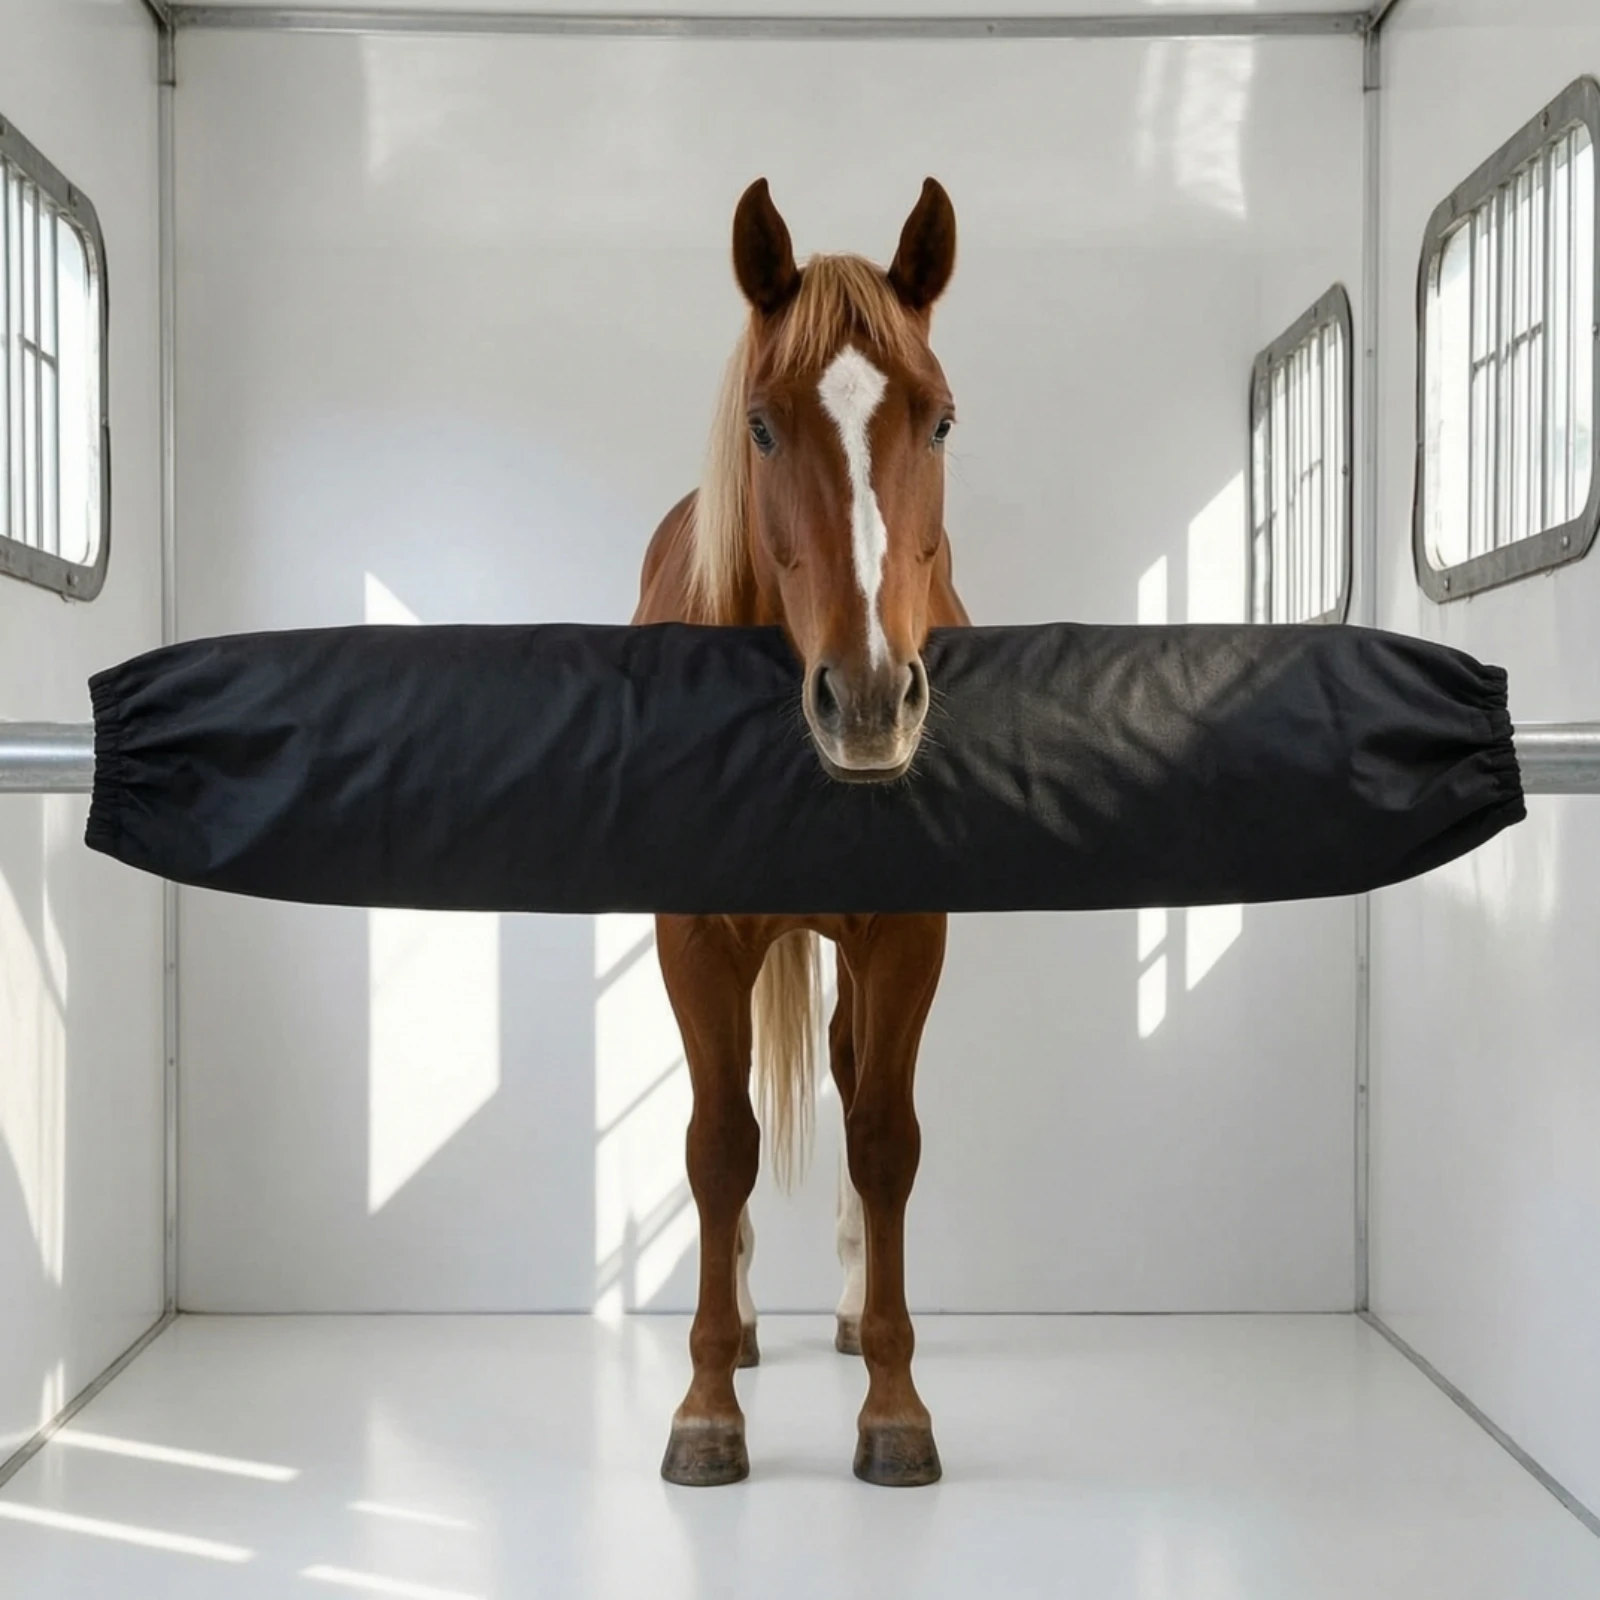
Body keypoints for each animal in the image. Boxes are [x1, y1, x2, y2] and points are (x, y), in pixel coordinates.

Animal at [632, 175, 968, 1487]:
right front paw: (704, 1407)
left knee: (841, 1066)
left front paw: (896, 1404)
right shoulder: (691, 934)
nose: (869, 700)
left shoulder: (909, 930)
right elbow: (718, 1144)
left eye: (939, 422)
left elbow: (881, 1137)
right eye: (763, 428)